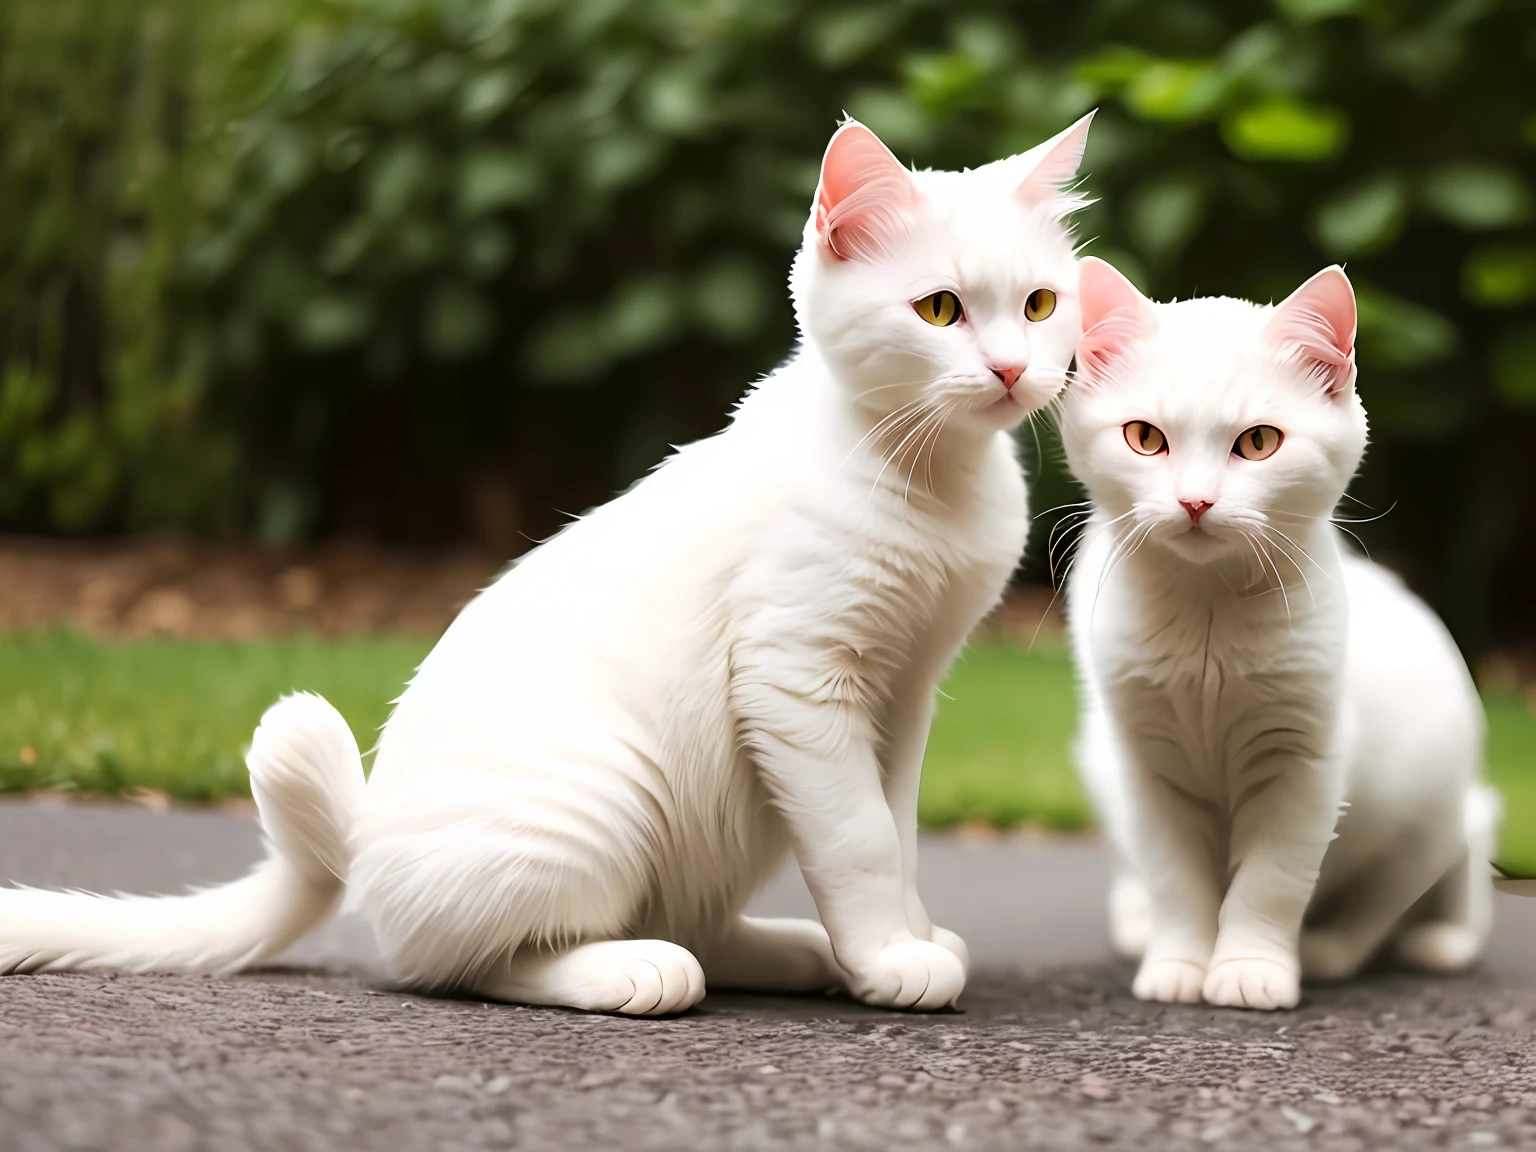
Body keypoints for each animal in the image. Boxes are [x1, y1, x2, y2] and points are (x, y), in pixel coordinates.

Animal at [3, 117, 1105, 1013]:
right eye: (940, 311)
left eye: (1040, 305)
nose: (1013, 369)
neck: (933, 485)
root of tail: (364, 845)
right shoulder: (797, 677)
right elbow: (860, 840)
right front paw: (887, 958)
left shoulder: (903, 696)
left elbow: (898, 831)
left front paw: (900, 939)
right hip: (607, 793)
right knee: (471, 961)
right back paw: (637, 970)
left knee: (675, 920)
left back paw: (795, 953)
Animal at [1062, 254, 1492, 1007]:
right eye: (1145, 438)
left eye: (1258, 442)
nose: (1195, 501)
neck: (1203, 618)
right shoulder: (1145, 765)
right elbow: (1174, 878)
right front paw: (1180, 961)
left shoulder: (1305, 759)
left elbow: (1272, 881)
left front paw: (1249, 968)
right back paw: (1138, 922)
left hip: (1428, 805)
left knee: (1399, 892)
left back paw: (1365, 946)